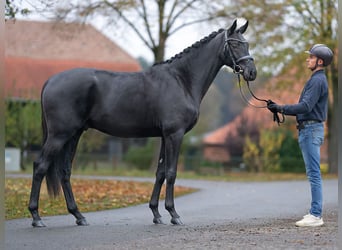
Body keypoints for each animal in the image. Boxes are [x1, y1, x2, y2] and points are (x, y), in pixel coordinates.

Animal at [28, 19, 255, 227]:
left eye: (247, 43)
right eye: (234, 44)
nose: (252, 72)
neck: (181, 80)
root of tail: (51, 81)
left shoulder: (165, 136)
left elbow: (160, 172)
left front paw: (156, 213)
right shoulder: (175, 134)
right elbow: (171, 172)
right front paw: (174, 214)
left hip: (73, 135)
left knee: (64, 171)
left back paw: (78, 215)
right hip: (59, 135)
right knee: (40, 166)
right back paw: (36, 216)